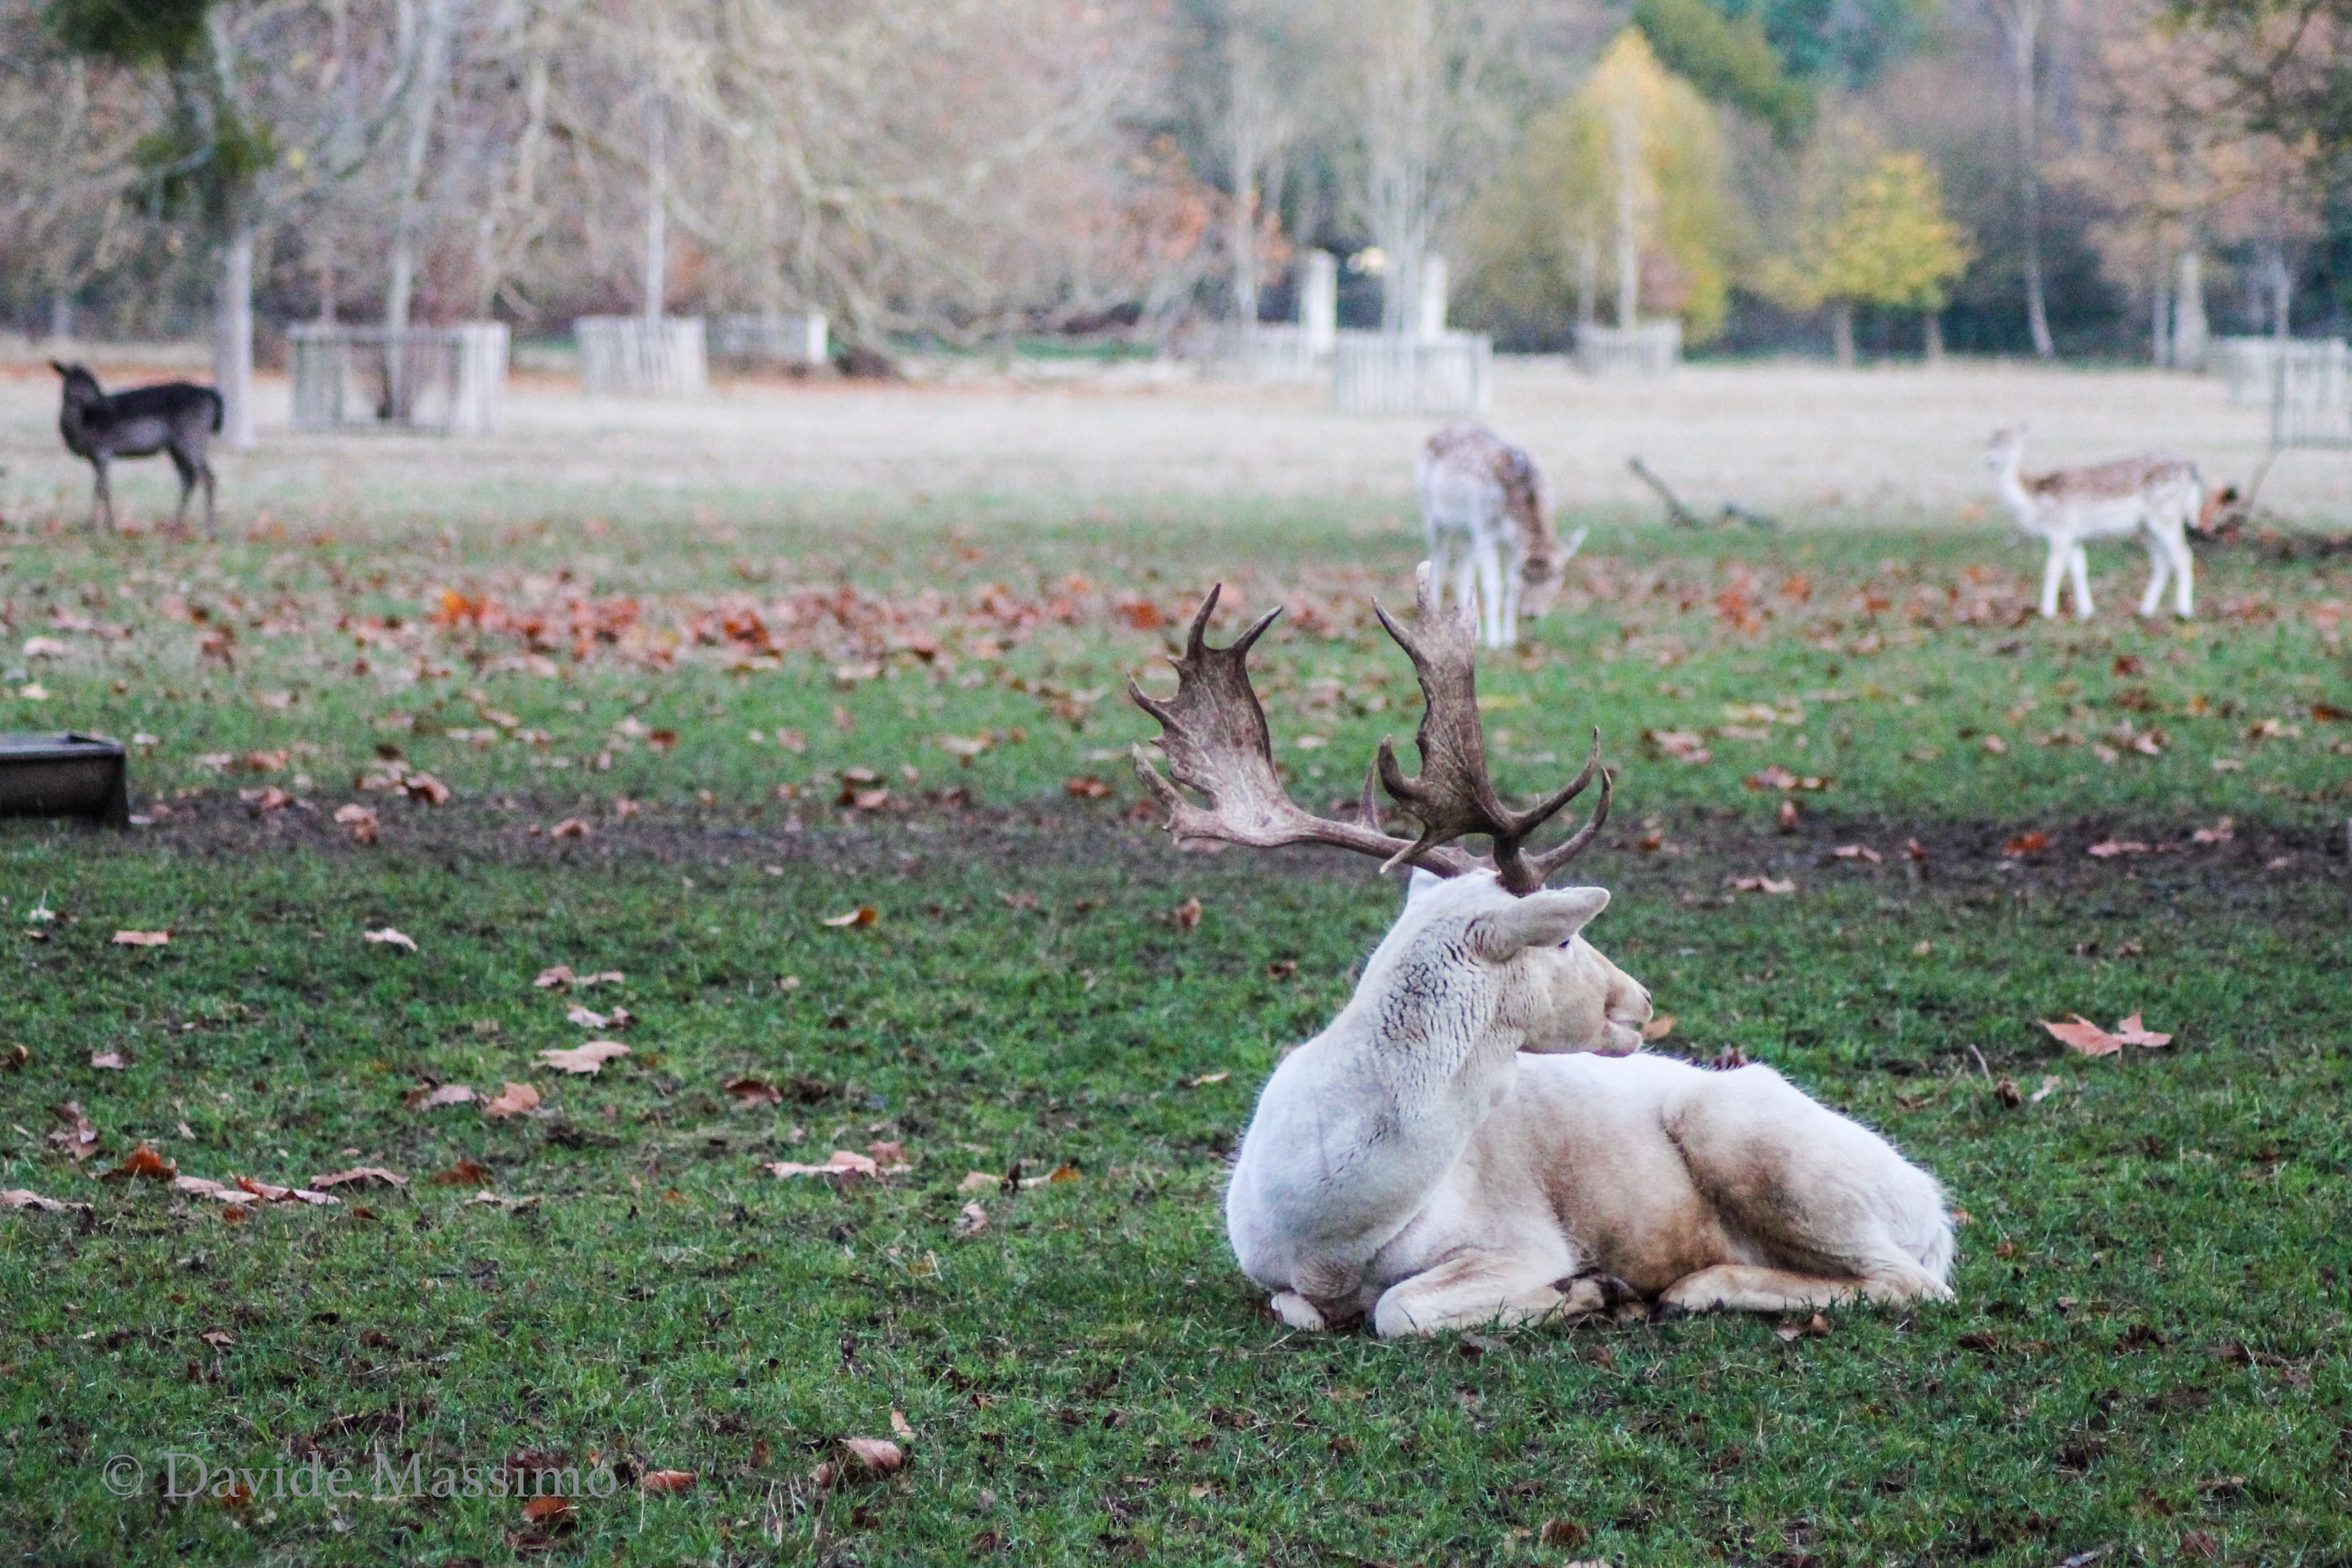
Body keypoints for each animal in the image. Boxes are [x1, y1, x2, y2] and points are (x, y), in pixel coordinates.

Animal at [52, 362, 224, 537]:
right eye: (79, 381)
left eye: (92, 380)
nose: (104, 403)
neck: (83, 428)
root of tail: (213, 398)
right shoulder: (95, 457)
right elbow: (101, 487)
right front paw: (98, 526)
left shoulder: (104, 449)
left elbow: (101, 488)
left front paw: (101, 528)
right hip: (175, 446)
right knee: (189, 480)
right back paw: (174, 529)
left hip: (191, 437)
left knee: (208, 477)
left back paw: (210, 532)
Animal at [1128, 569, 1955, 1336]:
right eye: (1562, 937)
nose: (1642, 1000)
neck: (1328, 1229)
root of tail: (1936, 1209)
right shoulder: (1264, 1266)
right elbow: (1301, 1308)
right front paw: (1590, 1292)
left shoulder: (1522, 1237)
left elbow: (1399, 1307)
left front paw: (1587, 1289)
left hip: (1759, 1142)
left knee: (1914, 1282)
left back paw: (1689, 1286)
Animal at [1418, 424, 1586, 651]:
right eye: (1526, 572)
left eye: (1557, 574)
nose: (1532, 613)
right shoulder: (1485, 530)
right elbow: (1493, 584)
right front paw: (1494, 641)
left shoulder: (1512, 544)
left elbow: (1511, 585)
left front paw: (1509, 638)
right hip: (1432, 516)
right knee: (1438, 565)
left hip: (1467, 533)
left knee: (1462, 570)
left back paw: (1472, 634)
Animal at [1984, 424, 2198, 621]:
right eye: (1989, 442)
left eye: (2010, 443)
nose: (1990, 460)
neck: (2036, 501)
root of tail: (2190, 471)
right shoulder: (2075, 536)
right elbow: (2079, 569)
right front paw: (2086, 612)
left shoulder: (2061, 529)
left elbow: (2054, 569)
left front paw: (2047, 612)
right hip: (2145, 529)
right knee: (2162, 563)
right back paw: (2145, 611)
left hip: (2167, 515)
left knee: (2183, 555)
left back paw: (2184, 612)